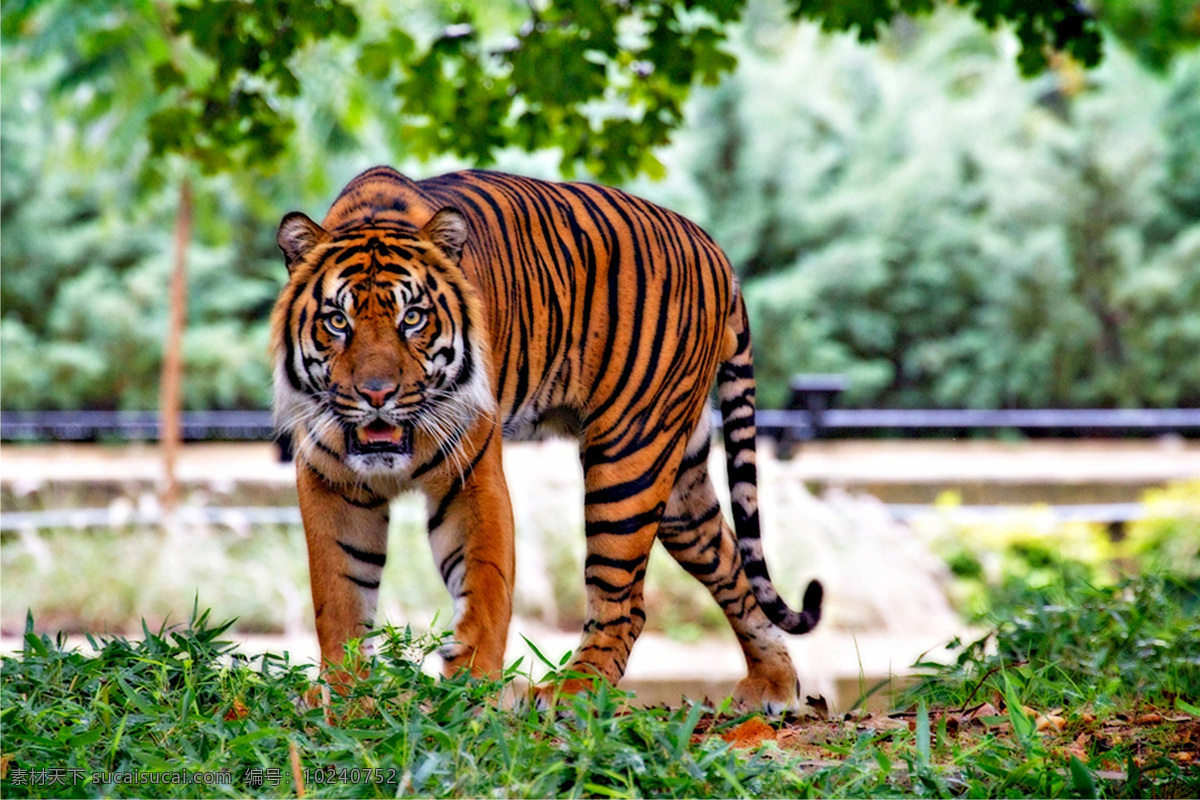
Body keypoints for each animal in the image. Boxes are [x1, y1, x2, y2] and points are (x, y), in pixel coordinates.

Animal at [271, 166, 823, 712]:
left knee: (626, 603)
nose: (377, 394)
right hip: (680, 483)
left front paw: (468, 696)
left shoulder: (472, 477)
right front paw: (347, 697)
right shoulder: (329, 482)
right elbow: (340, 598)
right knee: (730, 563)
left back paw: (570, 692)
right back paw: (773, 683)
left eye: (413, 318)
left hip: (629, 458)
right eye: (337, 321)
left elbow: (483, 589)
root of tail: (713, 248)